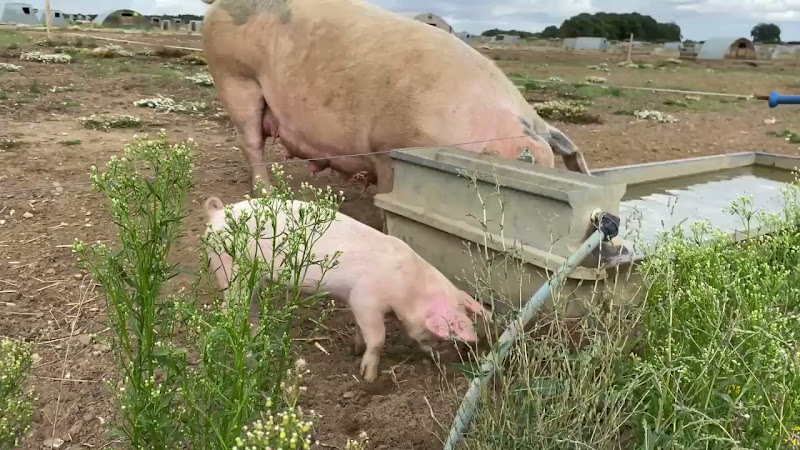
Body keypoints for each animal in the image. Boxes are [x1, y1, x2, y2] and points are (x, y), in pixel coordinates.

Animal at [203, 196, 491, 382]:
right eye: (442, 337)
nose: (451, 363)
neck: (408, 285)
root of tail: (216, 214)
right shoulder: (365, 298)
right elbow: (378, 338)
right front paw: (368, 378)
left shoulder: (358, 303)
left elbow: (362, 331)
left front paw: (355, 349)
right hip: (231, 270)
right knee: (230, 312)